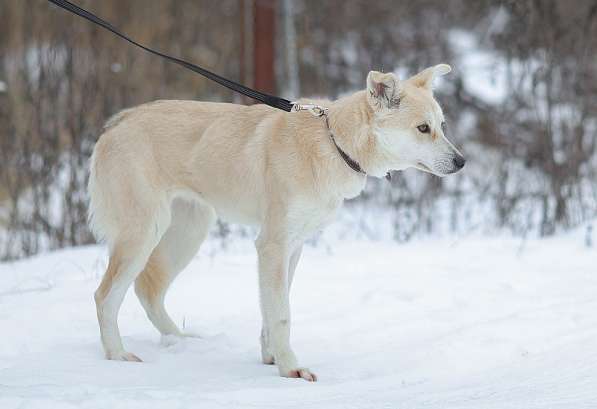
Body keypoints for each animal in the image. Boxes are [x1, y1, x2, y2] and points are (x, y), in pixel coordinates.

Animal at [88, 63, 464, 380]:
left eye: (442, 126)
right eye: (423, 128)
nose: (462, 162)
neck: (333, 143)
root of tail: (118, 122)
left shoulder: (292, 248)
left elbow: (272, 309)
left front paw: (271, 357)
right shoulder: (272, 245)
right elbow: (282, 314)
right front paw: (291, 369)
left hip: (188, 232)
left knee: (148, 289)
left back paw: (181, 341)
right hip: (144, 233)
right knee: (105, 296)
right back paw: (118, 355)